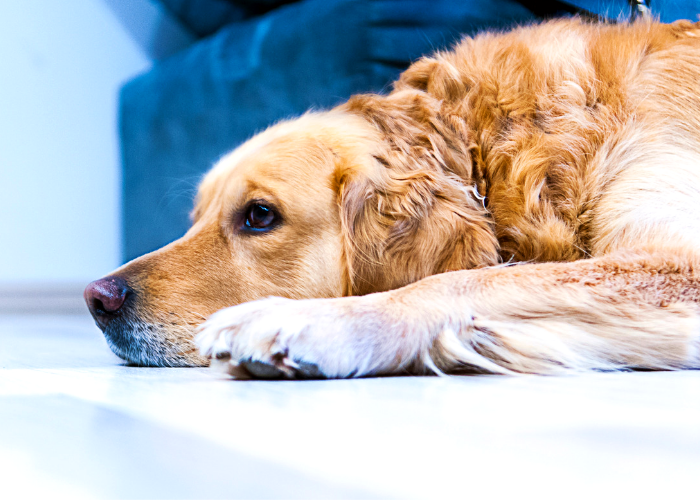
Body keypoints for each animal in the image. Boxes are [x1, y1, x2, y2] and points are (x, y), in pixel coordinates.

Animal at [85, 18, 700, 378]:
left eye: (259, 216)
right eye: (195, 218)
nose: (97, 299)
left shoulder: (680, 263)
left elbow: (468, 280)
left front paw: (308, 321)